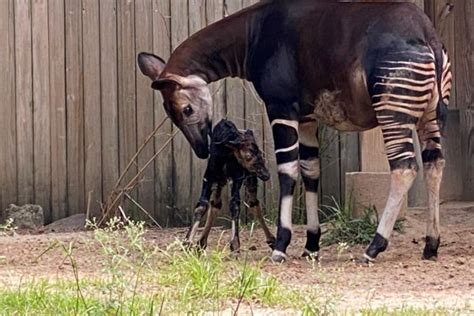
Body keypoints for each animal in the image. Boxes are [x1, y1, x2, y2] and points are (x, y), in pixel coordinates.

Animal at [184, 119, 276, 253]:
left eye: (260, 153)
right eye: (248, 156)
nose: (266, 175)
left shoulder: (236, 179)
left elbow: (234, 205)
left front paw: (235, 246)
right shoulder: (209, 179)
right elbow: (201, 205)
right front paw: (187, 242)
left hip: (249, 180)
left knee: (253, 203)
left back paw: (272, 240)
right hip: (221, 182)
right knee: (216, 204)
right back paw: (201, 243)